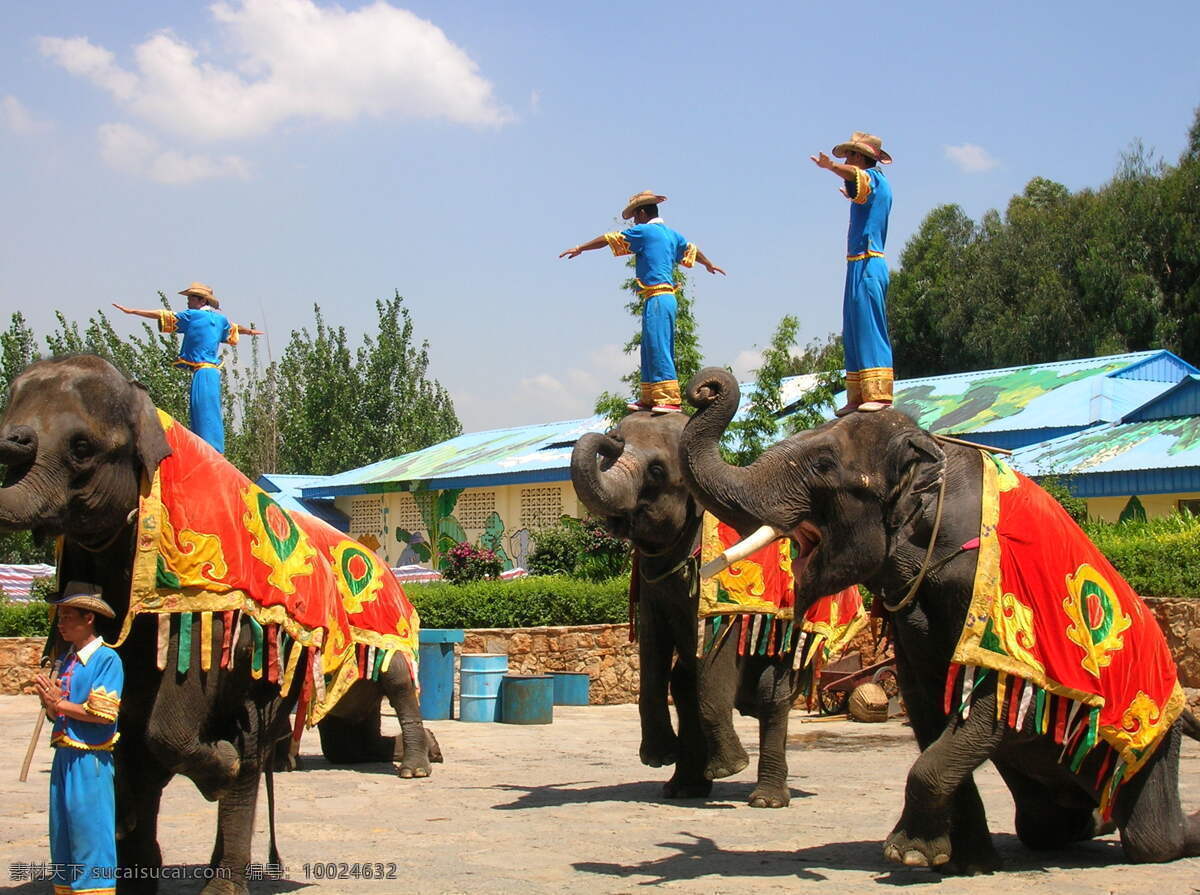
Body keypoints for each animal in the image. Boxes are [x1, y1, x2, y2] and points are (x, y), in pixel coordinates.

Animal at [0, 355, 432, 893]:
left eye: (82, 448)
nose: (12, 441)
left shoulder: (217, 612)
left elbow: (176, 715)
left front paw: (218, 767)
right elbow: (127, 725)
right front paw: (136, 854)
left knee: (376, 693)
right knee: (339, 741)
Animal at [571, 409, 816, 808]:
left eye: (657, 471)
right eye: (612, 451)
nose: (611, 438)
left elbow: (718, 648)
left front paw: (731, 768)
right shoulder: (652, 587)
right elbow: (652, 648)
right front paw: (659, 759)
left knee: (771, 693)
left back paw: (764, 800)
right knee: (684, 684)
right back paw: (684, 788)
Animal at [678, 366, 1200, 873]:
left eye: (824, 465)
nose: (705, 388)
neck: (935, 452)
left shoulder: (989, 600)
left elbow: (989, 698)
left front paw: (909, 855)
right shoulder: (910, 611)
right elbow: (925, 700)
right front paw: (953, 861)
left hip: (1152, 745)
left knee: (1153, 839)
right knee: (1043, 825)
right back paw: (1094, 823)